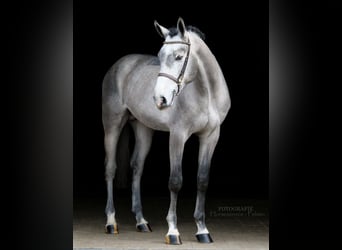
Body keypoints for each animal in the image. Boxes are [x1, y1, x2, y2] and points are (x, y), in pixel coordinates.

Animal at [101, 17, 230, 244]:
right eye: (160, 56)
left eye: (178, 56)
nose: (159, 99)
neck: (207, 94)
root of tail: (120, 64)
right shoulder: (178, 136)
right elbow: (175, 181)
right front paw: (173, 231)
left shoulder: (211, 136)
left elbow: (202, 180)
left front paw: (202, 230)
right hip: (112, 125)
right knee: (110, 168)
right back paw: (111, 222)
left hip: (143, 129)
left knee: (137, 168)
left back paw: (141, 222)